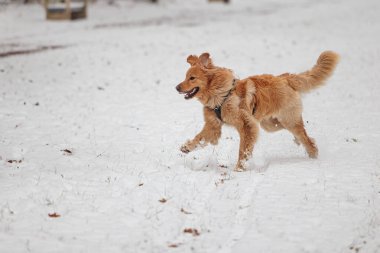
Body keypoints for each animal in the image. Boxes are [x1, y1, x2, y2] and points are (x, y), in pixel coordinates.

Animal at [177, 51, 340, 171]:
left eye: (192, 78)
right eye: (185, 77)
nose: (176, 87)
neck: (220, 94)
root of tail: (285, 78)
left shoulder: (247, 125)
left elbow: (243, 149)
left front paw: (239, 168)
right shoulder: (213, 126)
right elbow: (199, 138)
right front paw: (187, 147)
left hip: (288, 120)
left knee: (305, 137)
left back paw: (313, 153)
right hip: (271, 124)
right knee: (303, 135)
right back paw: (300, 142)